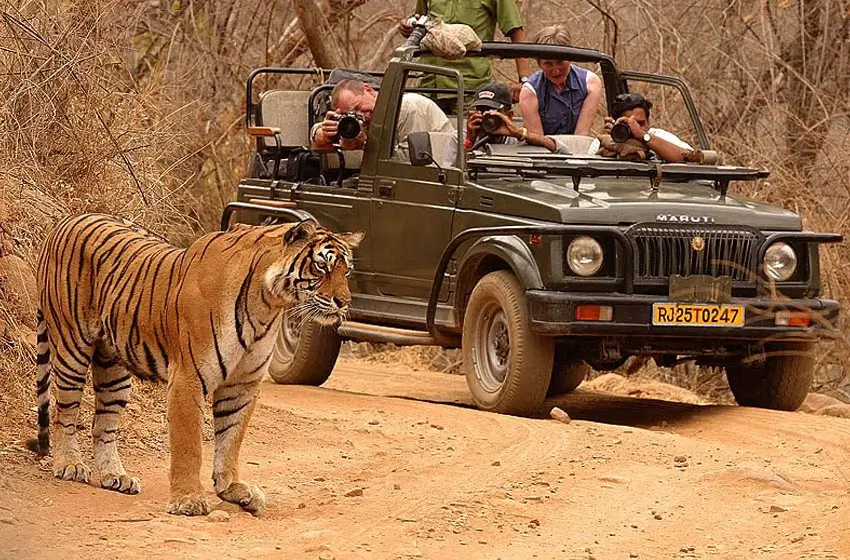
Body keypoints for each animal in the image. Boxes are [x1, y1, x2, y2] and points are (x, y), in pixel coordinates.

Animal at [28, 213, 363, 516]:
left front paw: (232, 489)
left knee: (103, 424)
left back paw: (115, 476)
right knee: (63, 412)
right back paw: (70, 465)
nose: (344, 303)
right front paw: (188, 500)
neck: (267, 303)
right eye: (322, 266)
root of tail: (64, 222)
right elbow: (190, 444)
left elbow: (231, 438)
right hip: (72, 347)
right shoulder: (188, 377)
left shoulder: (242, 383)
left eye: (346, 271)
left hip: (113, 366)